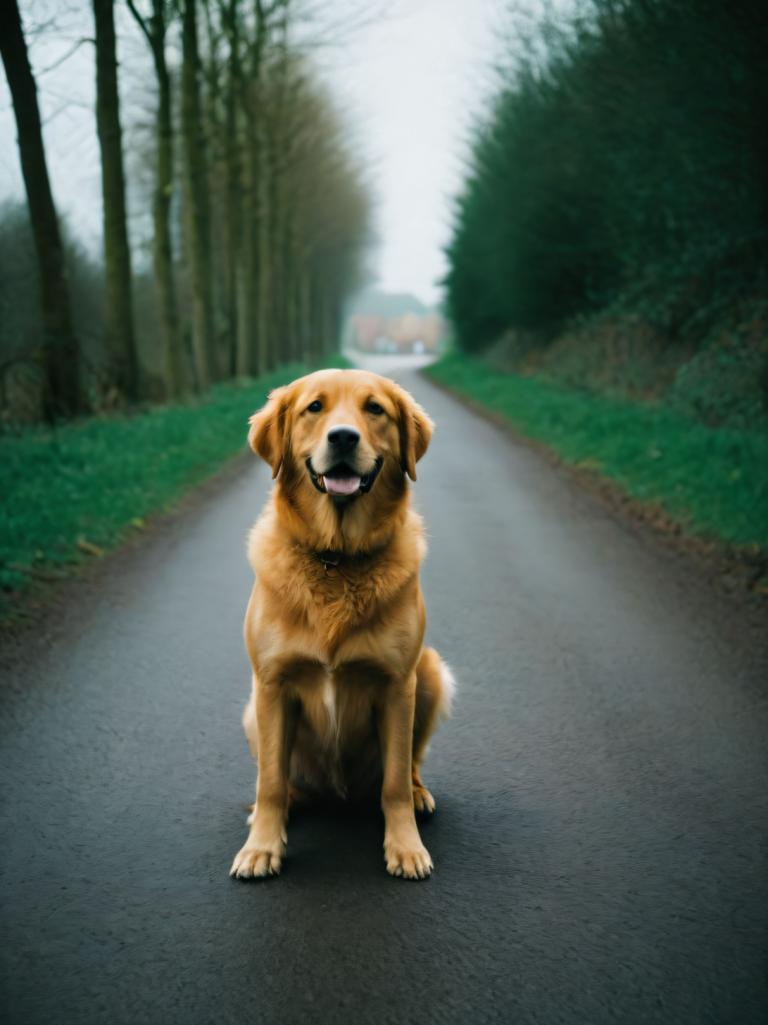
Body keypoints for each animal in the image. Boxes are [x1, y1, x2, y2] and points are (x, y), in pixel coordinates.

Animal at [227, 369, 455, 881]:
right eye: (315, 407)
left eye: (375, 409)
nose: (344, 437)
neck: (337, 557)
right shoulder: (272, 683)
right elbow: (270, 782)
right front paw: (261, 847)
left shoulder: (397, 684)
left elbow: (393, 781)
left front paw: (405, 847)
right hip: (253, 710)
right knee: (279, 779)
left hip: (430, 673)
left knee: (406, 767)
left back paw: (418, 794)